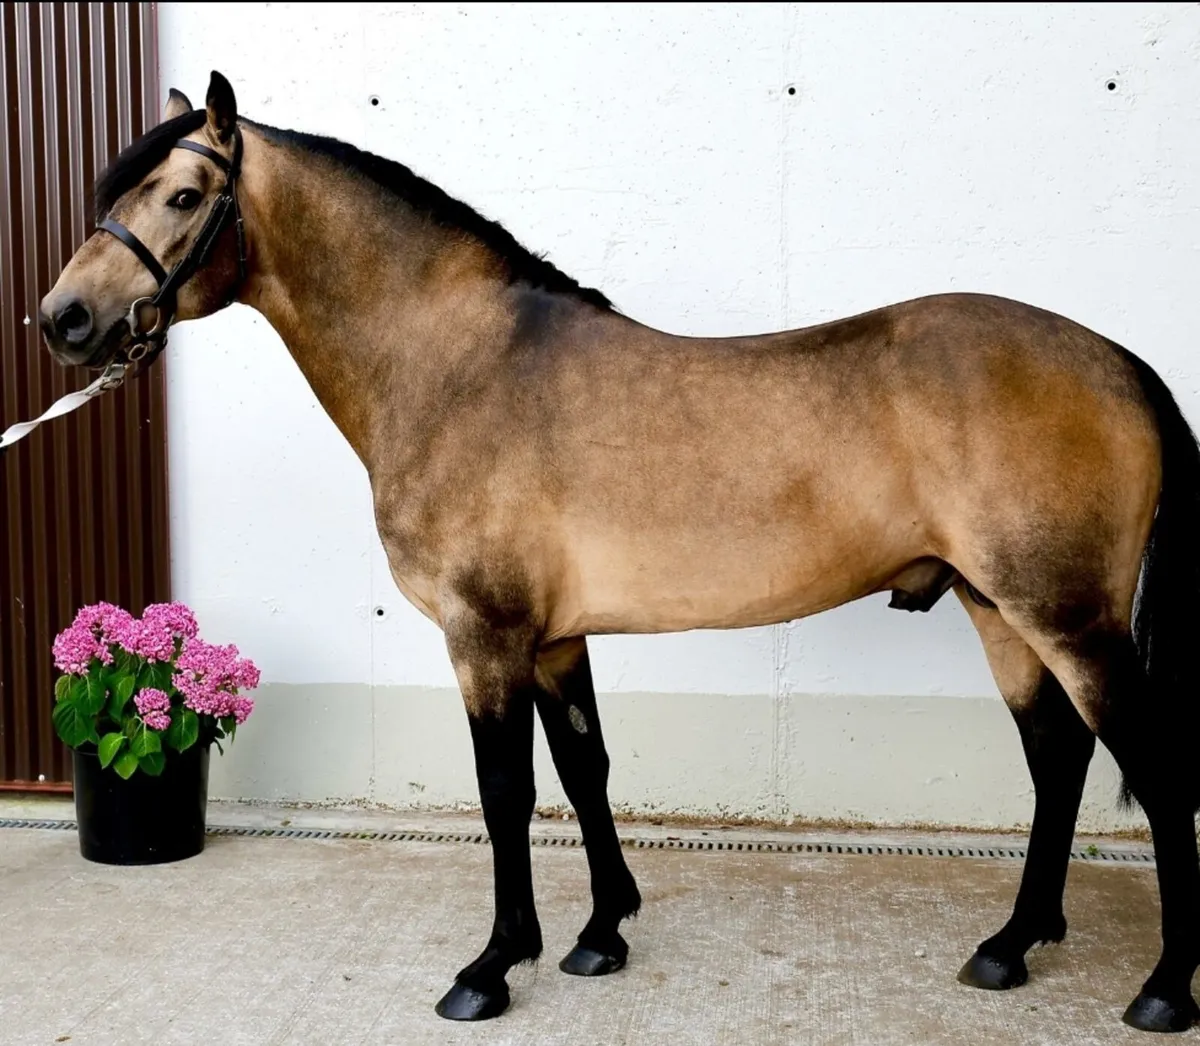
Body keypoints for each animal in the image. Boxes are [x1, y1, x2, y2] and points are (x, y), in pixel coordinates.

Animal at [36, 71, 1200, 1033]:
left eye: (185, 195)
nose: (64, 318)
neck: (457, 366)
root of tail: (1116, 358)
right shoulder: (554, 639)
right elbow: (585, 767)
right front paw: (601, 935)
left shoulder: (486, 635)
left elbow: (505, 789)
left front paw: (492, 966)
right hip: (999, 608)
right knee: (1057, 756)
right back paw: (1010, 945)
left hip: (1067, 617)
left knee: (1146, 762)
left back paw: (1159, 989)